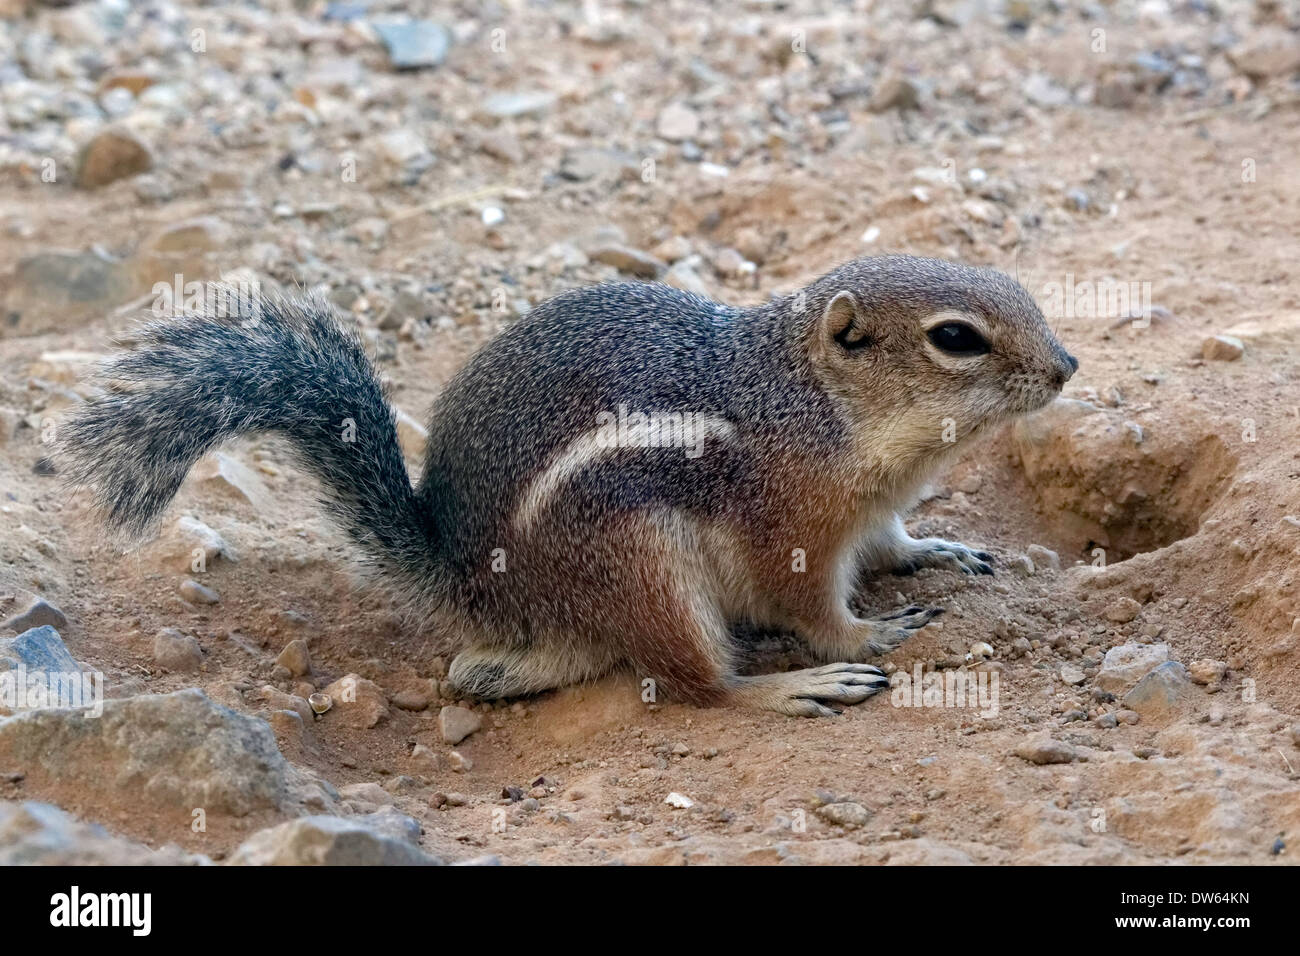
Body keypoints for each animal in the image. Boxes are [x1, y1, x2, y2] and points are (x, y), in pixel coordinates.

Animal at [61, 254, 1076, 717]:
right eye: (955, 338)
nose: (1067, 364)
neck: (815, 404)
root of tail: (473, 588)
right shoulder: (788, 526)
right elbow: (810, 606)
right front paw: (864, 636)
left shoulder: (871, 513)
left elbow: (895, 543)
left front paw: (937, 551)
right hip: (640, 563)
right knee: (695, 681)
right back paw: (789, 690)